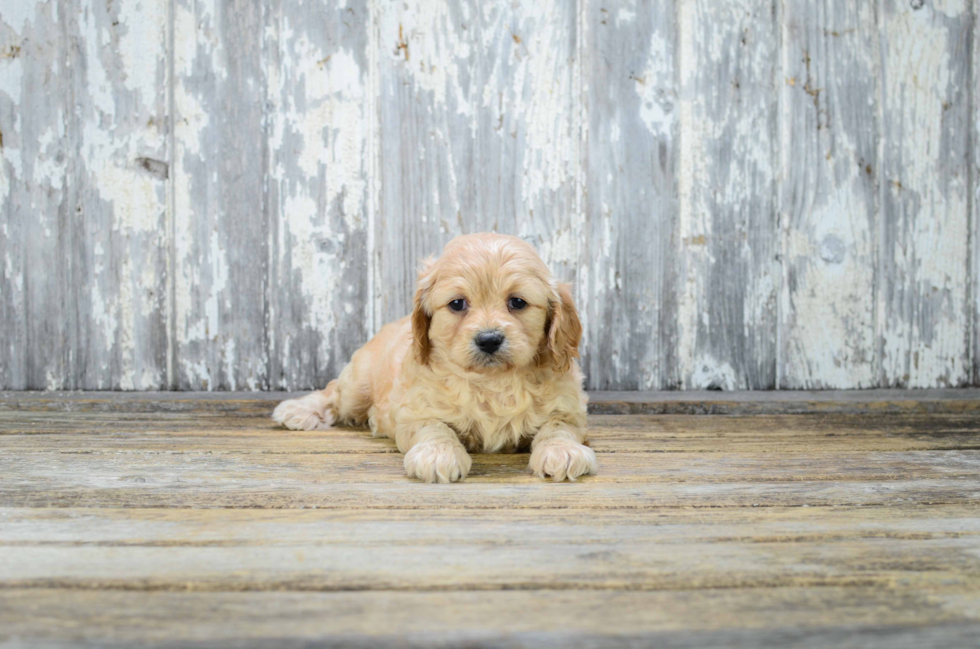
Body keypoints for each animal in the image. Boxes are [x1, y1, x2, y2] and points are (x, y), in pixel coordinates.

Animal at [276, 232, 596, 480]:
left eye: (517, 302)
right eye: (457, 304)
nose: (489, 340)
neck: (492, 381)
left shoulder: (569, 409)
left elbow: (558, 427)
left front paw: (562, 451)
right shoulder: (416, 410)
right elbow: (434, 427)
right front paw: (438, 454)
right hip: (358, 384)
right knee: (333, 393)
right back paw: (298, 410)